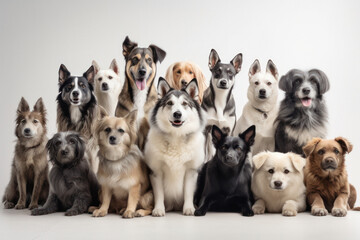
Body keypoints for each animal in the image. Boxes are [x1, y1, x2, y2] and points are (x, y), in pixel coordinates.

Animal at [143, 78, 205, 217]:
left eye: (184, 103)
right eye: (170, 103)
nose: (177, 114)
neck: (176, 137)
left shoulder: (191, 171)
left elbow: (188, 192)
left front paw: (189, 208)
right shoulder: (156, 171)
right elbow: (159, 194)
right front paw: (158, 209)